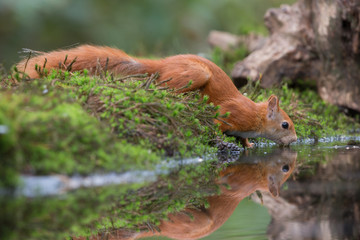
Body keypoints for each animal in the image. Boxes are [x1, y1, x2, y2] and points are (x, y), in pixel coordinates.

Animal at [16, 44, 296, 147]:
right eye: (285, 124)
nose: (294, 140)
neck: (254, 117)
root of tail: (163, 64)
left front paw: (248, 145)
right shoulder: (232, 114)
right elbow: (218, 124)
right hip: (195, 75)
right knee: (166, 87)